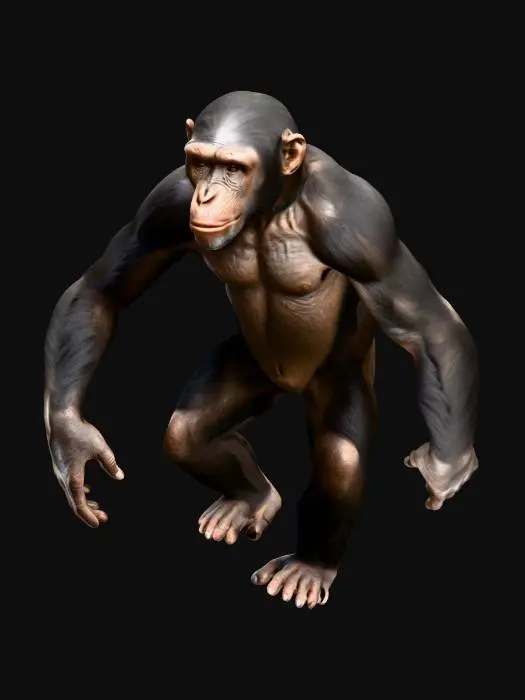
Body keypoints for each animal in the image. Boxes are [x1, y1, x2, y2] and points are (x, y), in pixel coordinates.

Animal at [44, 91, 479, 609]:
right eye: (201, 163)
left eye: (235, 168)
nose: (207, 194)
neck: (273, 204)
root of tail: (289, 388)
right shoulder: (165, 203)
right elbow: (103, 289)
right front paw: (73, 442)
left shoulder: (362, 225)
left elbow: (426, 325)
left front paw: (446, 466)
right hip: (250, 366)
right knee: (186, 434)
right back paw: (251, 500)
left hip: (343, 377)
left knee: (340, 459)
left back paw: (310, 567)